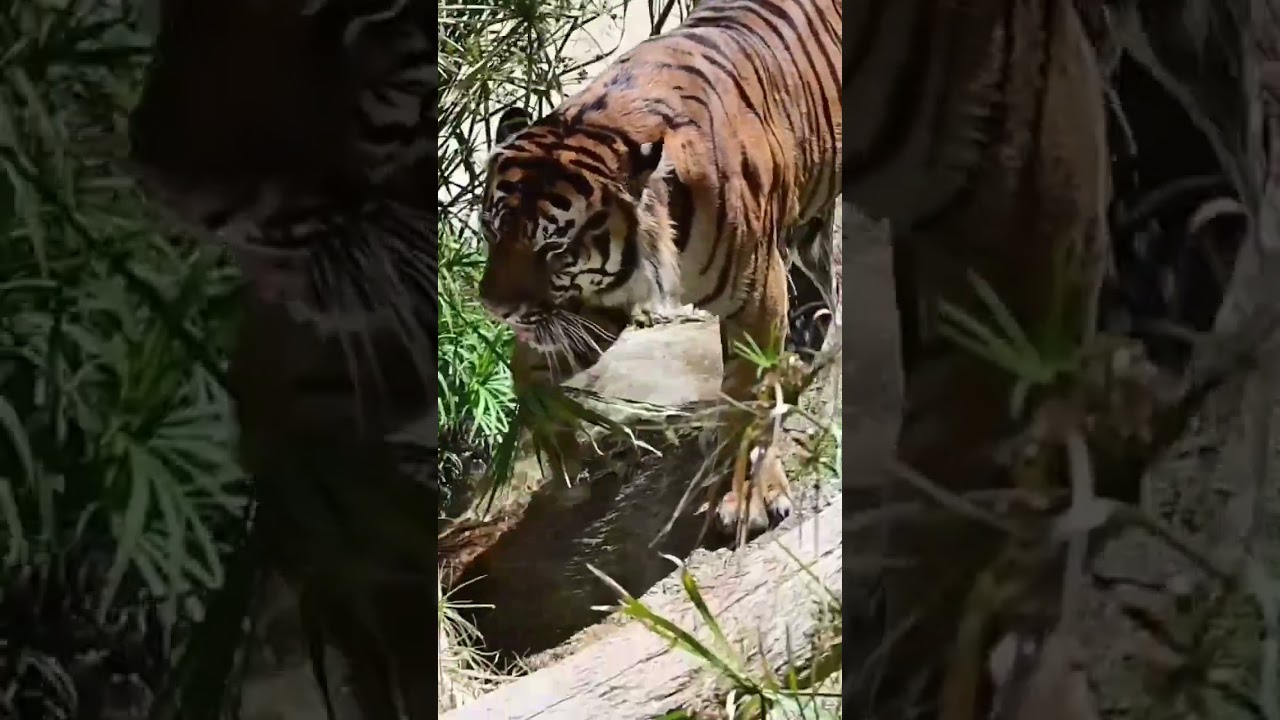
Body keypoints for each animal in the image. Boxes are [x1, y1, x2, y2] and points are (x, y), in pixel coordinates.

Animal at [478, 0, 842, 539]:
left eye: (554, 246)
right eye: (490, 229)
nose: (494, 309)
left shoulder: (757, 293)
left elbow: (747, 392)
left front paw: (743, 497)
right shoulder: (591, 300)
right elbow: (527, 368)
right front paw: (563, 455)